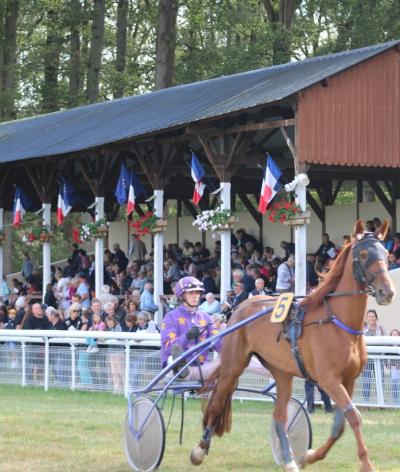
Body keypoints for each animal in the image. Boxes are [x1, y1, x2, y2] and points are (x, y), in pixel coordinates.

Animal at [192, 221, 396, 472]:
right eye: (365, 254)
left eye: (386, 253)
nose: (387, 292)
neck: (337, 322)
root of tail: (239, 307)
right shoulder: (329, 380)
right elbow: (354, 416)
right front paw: (366, 463)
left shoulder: (349, 380)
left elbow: (340, 422)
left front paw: (309, 455)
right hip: (234, 365)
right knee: (216, 403)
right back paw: (200, 449)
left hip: (281, 372)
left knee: (280, 415)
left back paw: (289, 459)